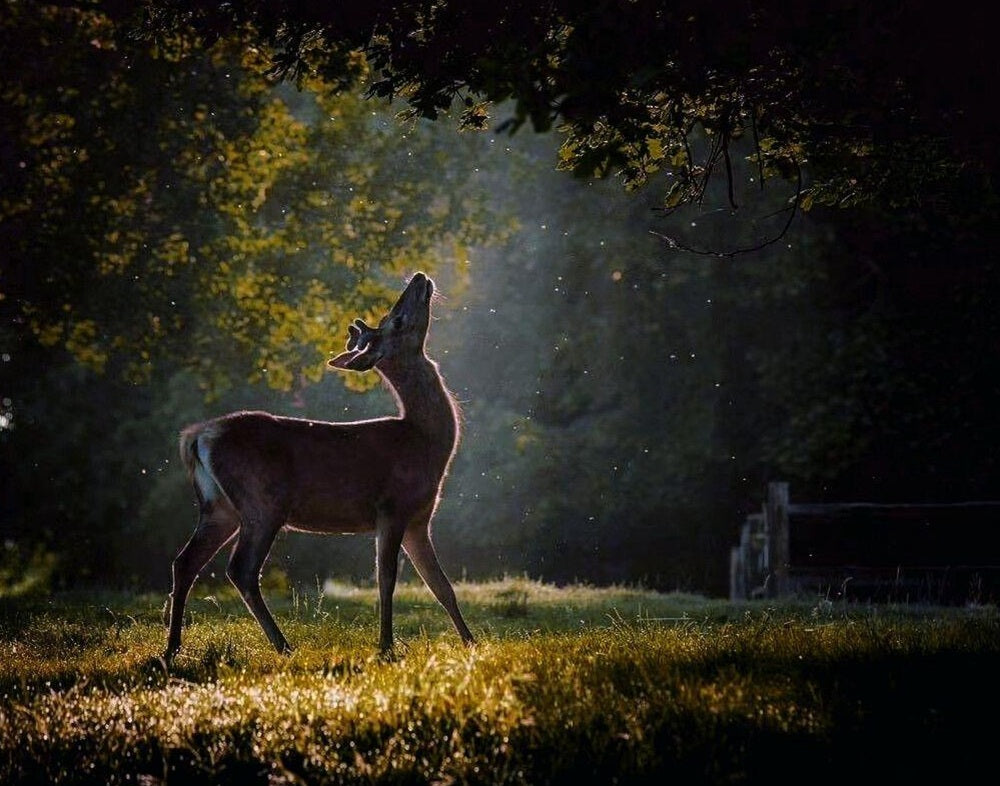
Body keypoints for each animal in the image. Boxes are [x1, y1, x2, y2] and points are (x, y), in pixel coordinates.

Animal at [163, 271, 475, 664]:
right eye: (397, 320)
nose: (418, 277)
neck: (425, 443)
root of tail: (197, 437)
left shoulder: (420, 519)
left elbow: (441, 585)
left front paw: (472, 643)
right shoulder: (391, 507)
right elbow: (386, 579)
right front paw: (386, 648)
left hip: (219, 508)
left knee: (185, 561)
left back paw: (172, 648)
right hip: (262, 502)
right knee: (241, 569)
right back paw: (283, 646)